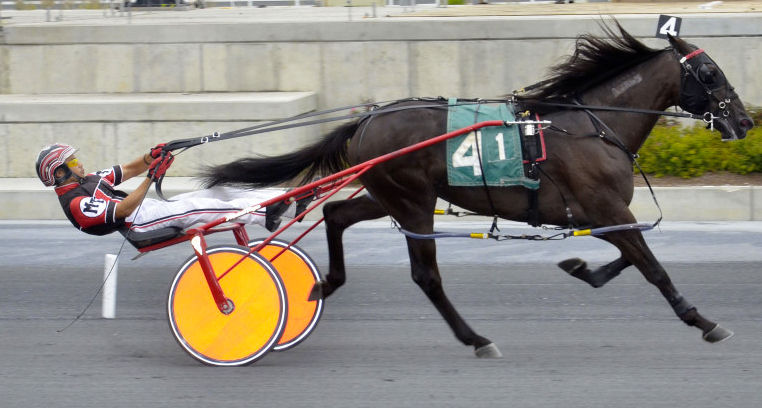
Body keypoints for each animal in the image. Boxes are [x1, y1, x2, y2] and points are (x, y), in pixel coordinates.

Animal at [202, 23, 754, 358]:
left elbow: (625, 258)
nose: (746, 121)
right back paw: (476, 338)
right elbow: (652, 267)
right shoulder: (604, 205)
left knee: (337, 214)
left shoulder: (598, 214)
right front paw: (702, 320)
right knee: (426, 276)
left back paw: (326, 283)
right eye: (710, 72)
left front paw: (581, 268)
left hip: (389, 194)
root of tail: (367, 120)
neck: (593, 127)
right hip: (412, 200)